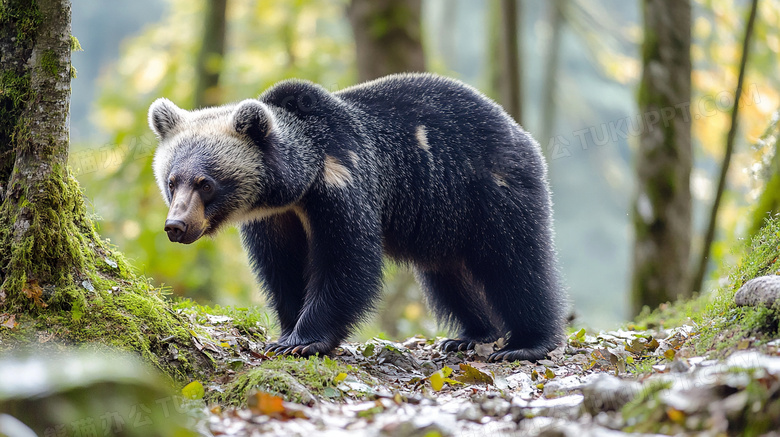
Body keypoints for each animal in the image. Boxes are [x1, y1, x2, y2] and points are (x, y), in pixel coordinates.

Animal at [148, 72, 560, 362]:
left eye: (205, 183)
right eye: (171, 181)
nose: (176, 226)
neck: (299, 187)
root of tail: (518, 132)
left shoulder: (344, 182)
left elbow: (345, 260)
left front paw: (301, 341)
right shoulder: (274, 220)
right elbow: (282, 268)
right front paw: (286, 331)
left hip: (490, 193)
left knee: (515, 263)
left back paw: (526, 342)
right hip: (442, 221)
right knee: (449, 277)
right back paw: (471, 335)